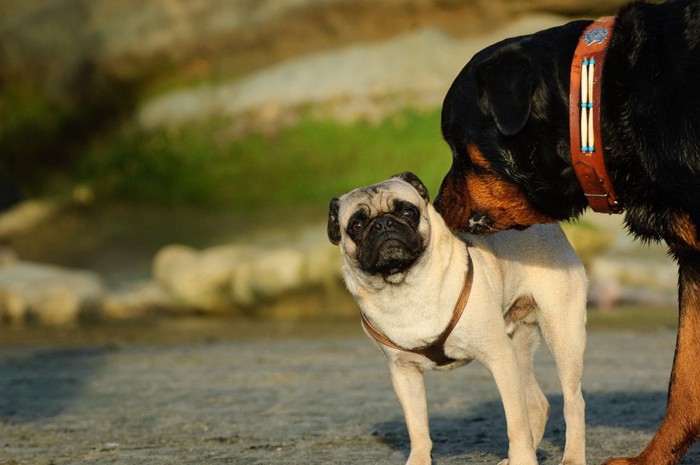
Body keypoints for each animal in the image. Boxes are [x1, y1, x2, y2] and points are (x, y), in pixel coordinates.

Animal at [326, 171, 584, 464]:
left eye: (407, 211)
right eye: (356, 225)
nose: (383, 224)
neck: (404, 288)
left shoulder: (499, 357)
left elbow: (516, 423)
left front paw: (522, 458)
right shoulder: (403, 372)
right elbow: (417, 428)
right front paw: (419, 459)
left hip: (562, 336)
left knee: (572, 402)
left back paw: (572, 456)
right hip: (518, 348)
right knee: (537, 404)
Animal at [438, 0, 700, 464]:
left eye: (456, 146)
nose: (435, 202)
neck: (600, 100)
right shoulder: (693, 261)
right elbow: (684, 380)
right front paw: (651, 458)